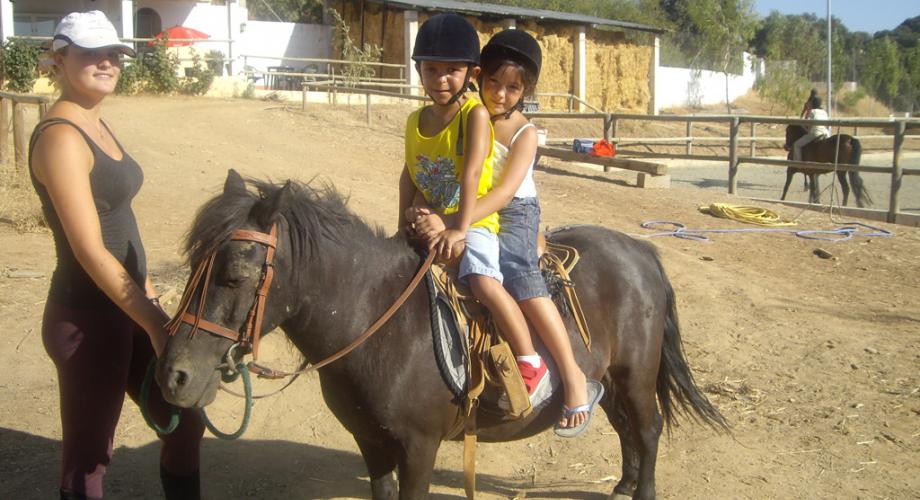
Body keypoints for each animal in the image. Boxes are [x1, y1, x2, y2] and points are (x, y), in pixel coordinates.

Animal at [160, 172, 732, 500]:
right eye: (192, 264)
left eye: (235, 274)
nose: (174, 376)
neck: (377, 320)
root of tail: (642, 252)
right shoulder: (371, 443)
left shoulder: (419, 446)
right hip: (609, 379)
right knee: (625, 429)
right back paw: (624, 484)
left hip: (635, 376)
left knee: (648, 429)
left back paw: (642, 489)